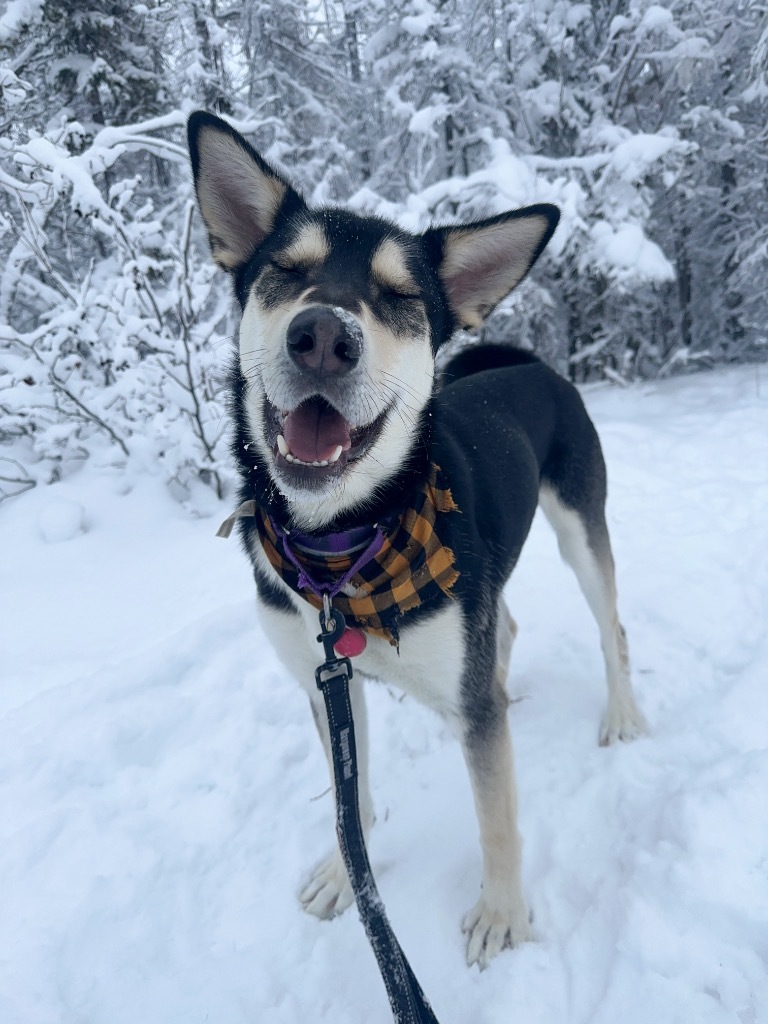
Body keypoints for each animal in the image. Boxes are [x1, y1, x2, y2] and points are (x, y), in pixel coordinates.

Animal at [188, 110, 651, 966]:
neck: (341, 548)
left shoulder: (471, 709)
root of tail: (527, 360)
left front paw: (503, 913)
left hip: (580, 529)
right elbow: (353, 795)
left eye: (400, 296)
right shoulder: (323, 682)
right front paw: (347, 873)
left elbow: (497, 815)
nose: (321, 336)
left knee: (611, 628)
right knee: (504, 629)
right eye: (286, 272)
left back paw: (621, 716)